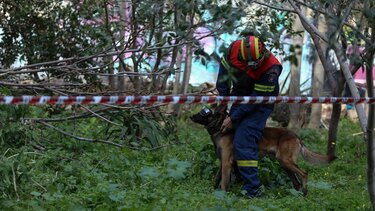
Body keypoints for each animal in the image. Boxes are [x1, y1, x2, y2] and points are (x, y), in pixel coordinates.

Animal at [192, 104, 336, 195]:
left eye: (203, 113)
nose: (191, 117)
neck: (220, 128)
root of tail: (296, 135)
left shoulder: (227, 163)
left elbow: (223, 182)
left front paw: (222, 196)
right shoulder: (223, 162)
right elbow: (216, 179)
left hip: (286, 161)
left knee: (304, 173)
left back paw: (305, 192)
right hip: (284, 164)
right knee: (296, 182)